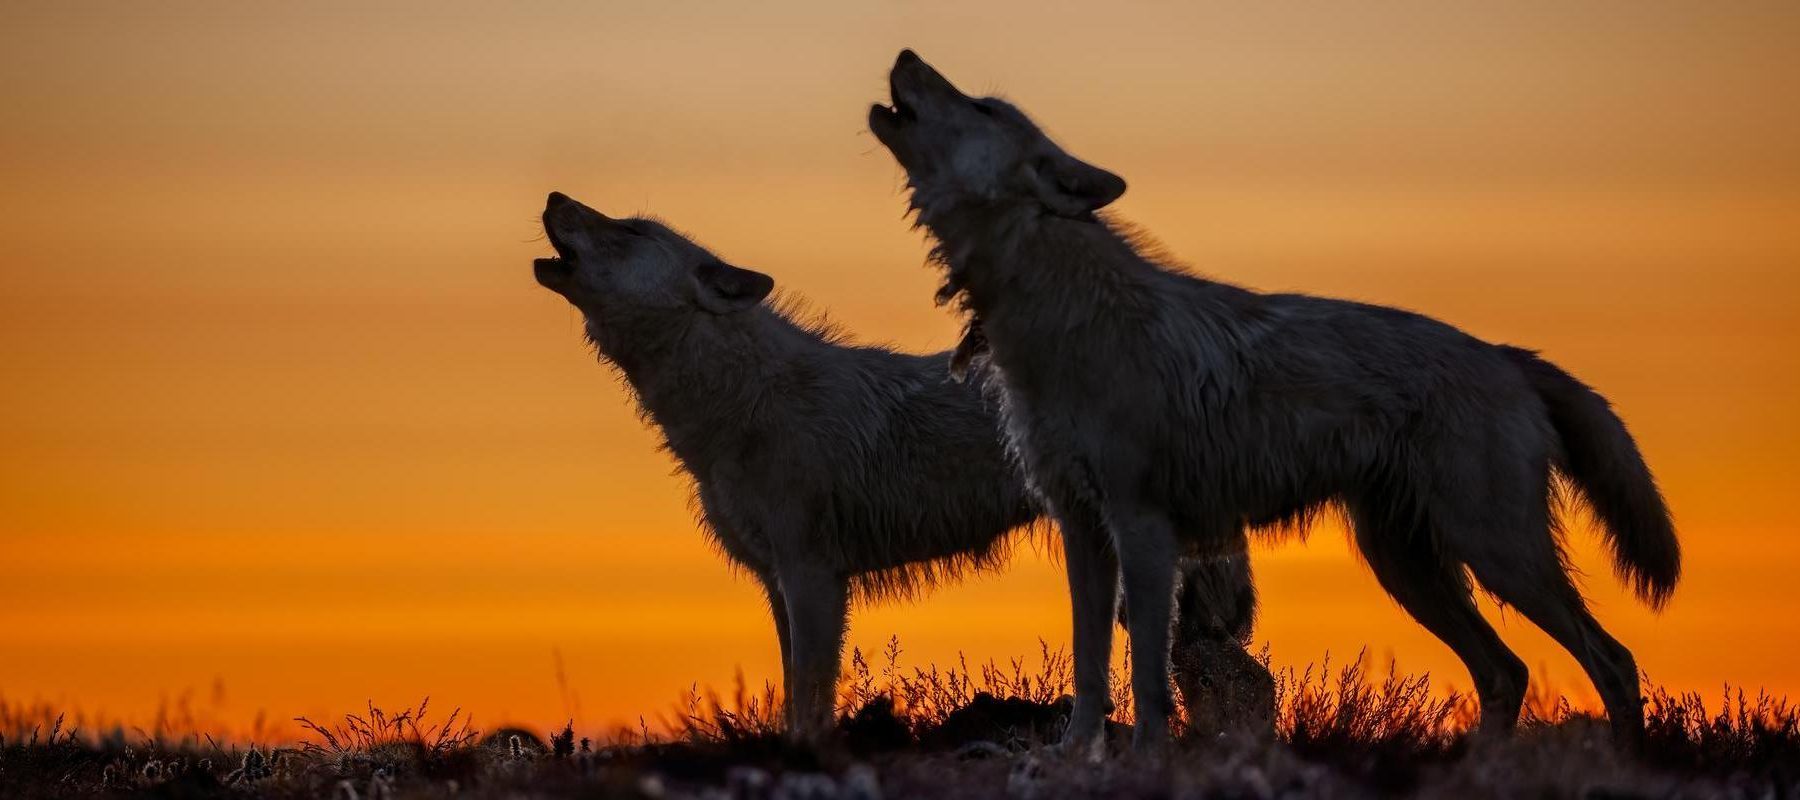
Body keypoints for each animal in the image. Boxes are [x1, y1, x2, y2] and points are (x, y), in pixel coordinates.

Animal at [532, 191, 1271, 740]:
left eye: (628, 229)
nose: (554, 197)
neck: (740, 405)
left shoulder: (814, 576)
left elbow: (811, 700)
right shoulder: (777, 582)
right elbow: (795, 689)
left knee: (1239, 683)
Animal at [869, 50, 1679, 753]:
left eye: (983, 106)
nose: (905, 53)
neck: (1056, 313)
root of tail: (1508, 355)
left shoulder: (1143, 527)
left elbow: (1146, 678)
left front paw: (1146, 761)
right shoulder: (1083, 530)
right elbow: (1091, 672)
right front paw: (1073, 760)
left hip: (1497, 555)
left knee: (1611, 659)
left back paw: (1619, 766)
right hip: (1410, 568)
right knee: (1506, 672)